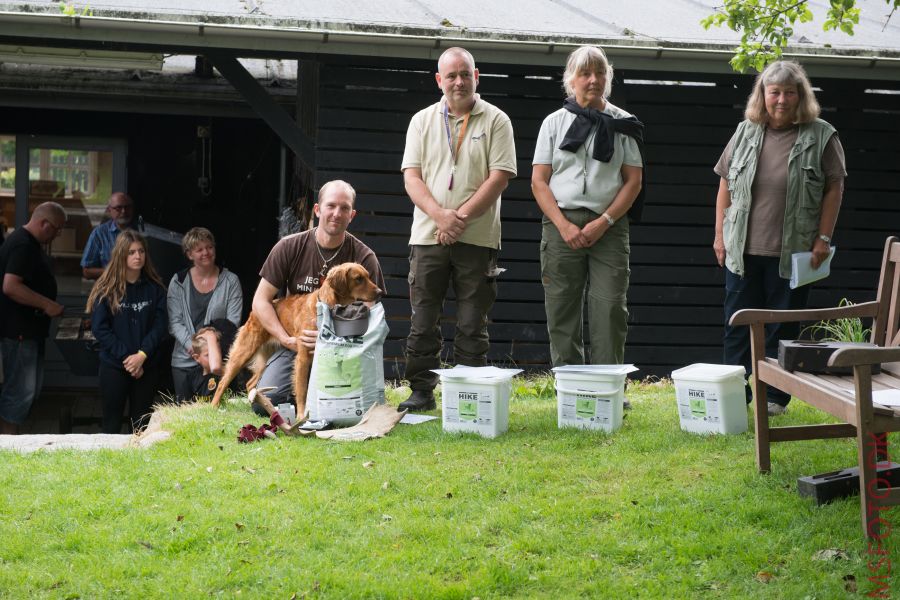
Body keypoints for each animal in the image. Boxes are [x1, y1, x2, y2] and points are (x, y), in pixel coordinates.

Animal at [212, 262, 384, 418]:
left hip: (266, 357)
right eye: (358, 279)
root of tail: (254, 312)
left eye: (368, 276)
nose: (380, 292)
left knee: (251, 383)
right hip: (244, 350)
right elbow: (302, 390)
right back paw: (214, 406)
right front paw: (302, 416)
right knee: (223, 382)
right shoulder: (303, 358)